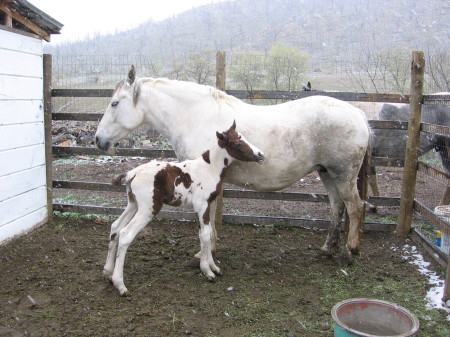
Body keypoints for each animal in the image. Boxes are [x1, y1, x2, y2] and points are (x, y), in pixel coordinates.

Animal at [103, 121, 264, 294]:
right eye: (237, 144)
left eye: (244, 138)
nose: (261, 155)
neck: (209, 169)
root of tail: (132, 173)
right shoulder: (202, 205)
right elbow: (205, 235)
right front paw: (207, 271)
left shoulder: (206, 205)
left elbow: (206, 233)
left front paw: (213, 267)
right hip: (148, 208)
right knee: (126, 234)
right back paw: (120, 284)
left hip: (133, 204)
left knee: (116, 227)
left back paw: (108, 273)